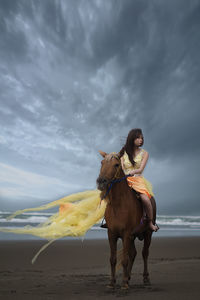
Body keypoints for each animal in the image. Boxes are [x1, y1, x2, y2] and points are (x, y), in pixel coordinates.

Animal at [96, 151, 157, 290]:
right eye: (102, 163)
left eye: (116, 164)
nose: (101, 182)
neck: (119, 204)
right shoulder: (112, 234)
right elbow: (113, 259)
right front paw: (112, 283)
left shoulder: (126, 234)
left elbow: (124, 260)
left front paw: (123, 284)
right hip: (132, 237)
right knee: (133, 253)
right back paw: (128, 277)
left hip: (147, 234)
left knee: (145, 253)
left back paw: (145, 279)